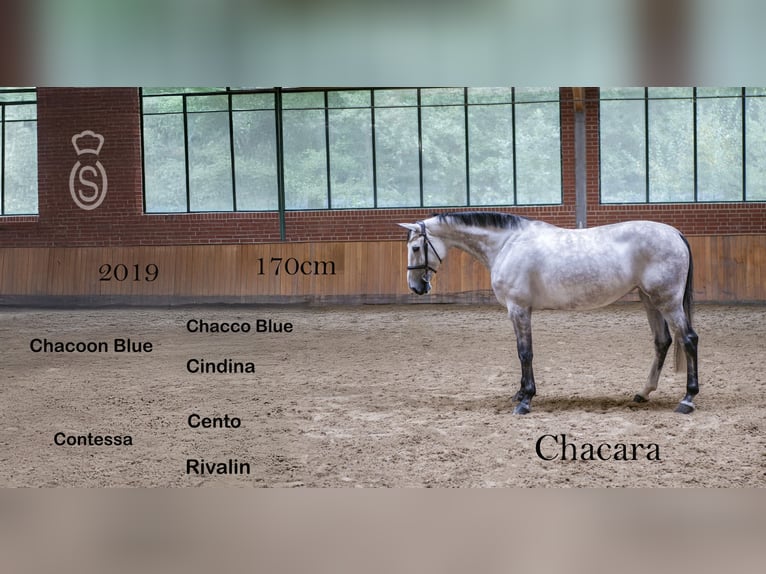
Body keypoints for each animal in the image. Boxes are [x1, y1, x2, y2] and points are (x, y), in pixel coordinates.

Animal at [398, 211, 699, 415]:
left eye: (415, 247)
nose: (415, 287)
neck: (507, 243)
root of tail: (675, 233)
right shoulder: (517, 311)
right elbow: (521, 352)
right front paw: (520, 393)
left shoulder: (519, 309)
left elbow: (525, 353)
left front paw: (525, 401)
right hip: (649, 300)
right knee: (662, 342)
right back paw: (643, 393)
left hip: (667, 301)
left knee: (688, 339)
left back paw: (687, 399)